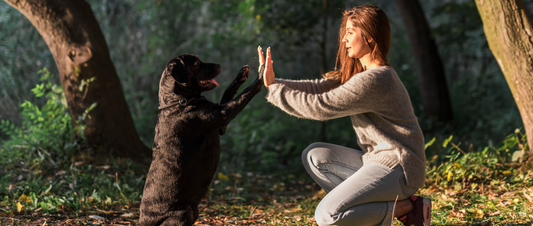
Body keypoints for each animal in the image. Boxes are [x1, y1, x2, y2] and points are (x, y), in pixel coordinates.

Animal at [139, 53, 264, 225]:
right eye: (196, 63)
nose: (219, 65)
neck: (179, 101)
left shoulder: (221, 125)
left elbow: (229, 92)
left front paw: (241, 75)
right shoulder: (223, 115)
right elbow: (243, 95)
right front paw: (261, 75)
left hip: (194, 211)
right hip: (182, 213)